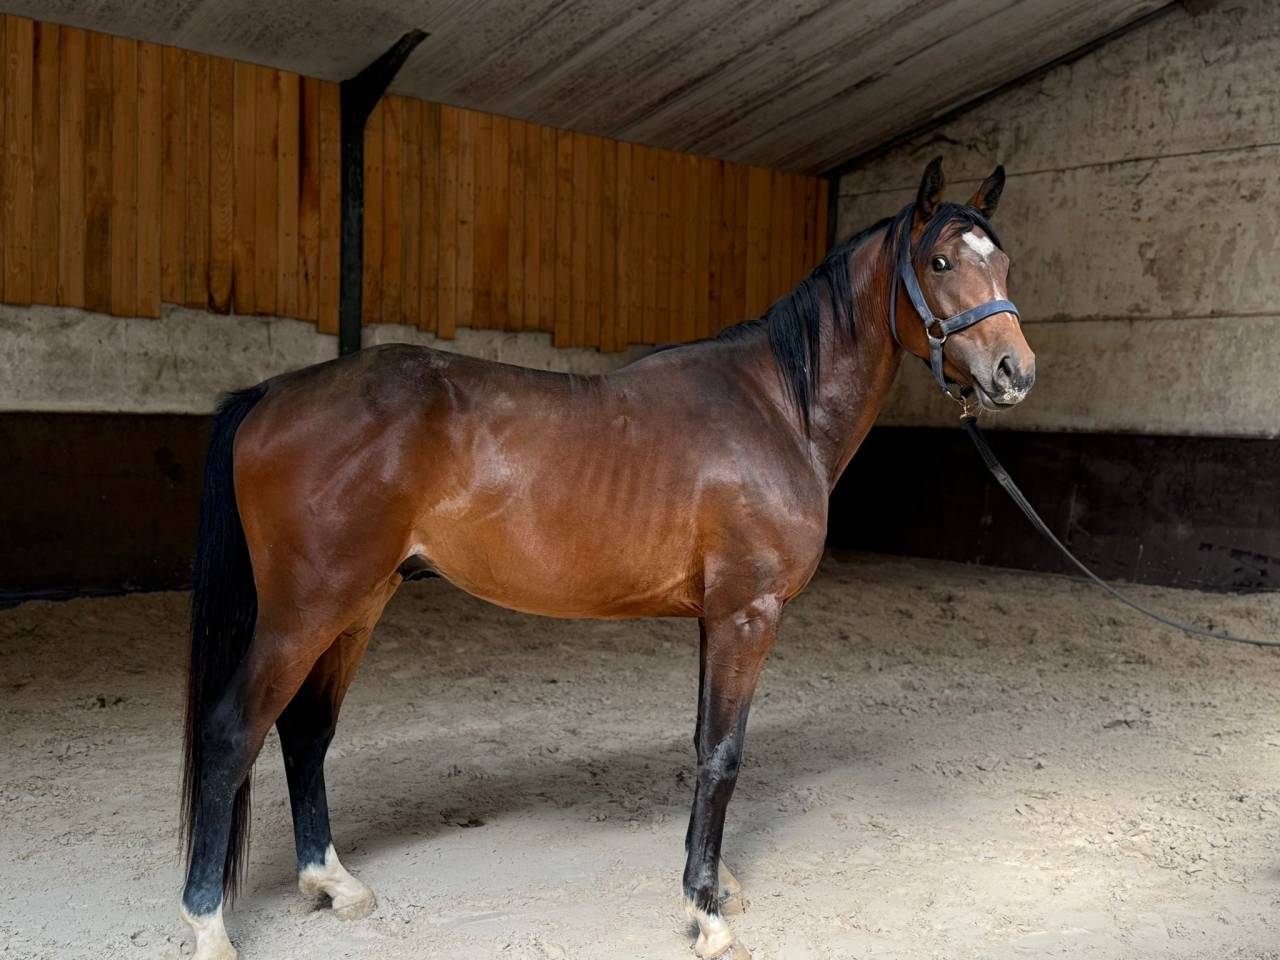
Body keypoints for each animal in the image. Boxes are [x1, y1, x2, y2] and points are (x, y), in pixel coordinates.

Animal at [178, 156, 1034, 960]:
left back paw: (332, 882)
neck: (775, 408)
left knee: (306, 732)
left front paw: (712, 881)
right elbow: (724, 755)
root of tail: (272, 393)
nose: (1014, 373)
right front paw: (706, 915)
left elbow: (704, 743)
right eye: (940, 262)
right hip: (307, 610)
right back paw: (209, 925)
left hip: (359, 603)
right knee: (231, 734)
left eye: (1004, 264)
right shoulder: (748, 614)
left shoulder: (717, 616)